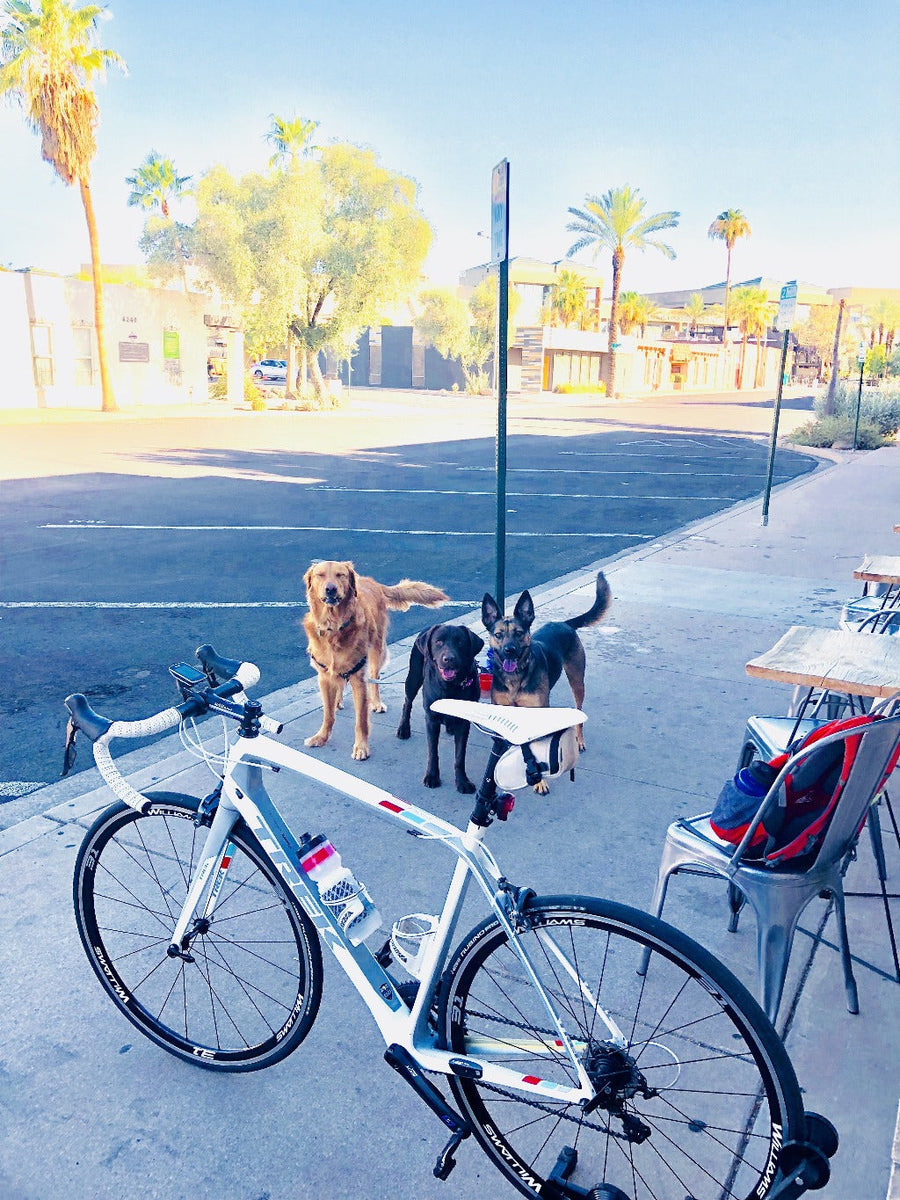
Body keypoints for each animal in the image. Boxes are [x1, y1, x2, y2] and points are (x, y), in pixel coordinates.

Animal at [303, 559, 448, 758]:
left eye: (340, 575)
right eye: (320, 575)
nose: (330, 589)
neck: (335, 627)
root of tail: (375, 583)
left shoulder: (359, 678)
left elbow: (361, 720)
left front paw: (361, 748)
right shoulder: (324, 676)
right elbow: (328, 714)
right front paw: (321, 737)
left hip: (376, 651)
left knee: (375, 679)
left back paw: (376, 703)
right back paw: (338, 700)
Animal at [396, 624, 482, 792]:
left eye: (460, 642)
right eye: (438, 642)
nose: (448, 659)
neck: (450, 687)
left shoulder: (464, 723)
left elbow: (460, 755)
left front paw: (462, 781)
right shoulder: (431, 719)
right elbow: (433, 752)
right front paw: (432, 776)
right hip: (413, 677)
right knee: (407, 703)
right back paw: (403, 728)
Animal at [487, 571, 614, 787]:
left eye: (519, 633)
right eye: (498, 635)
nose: (509, 651)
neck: (516, 677)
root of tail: (564, 623)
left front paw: (539, 782)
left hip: (577, 681)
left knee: (579, 712)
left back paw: (579, 740)